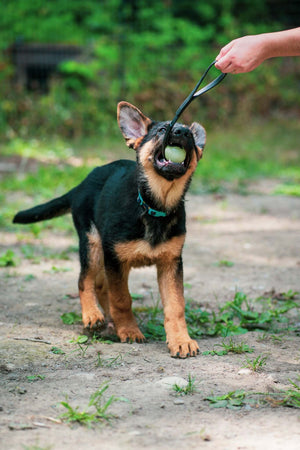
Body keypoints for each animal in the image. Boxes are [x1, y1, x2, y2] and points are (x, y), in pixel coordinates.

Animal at [14, 102, 206, 358]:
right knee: (85, 280)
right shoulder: (115, 259)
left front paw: (181, 340)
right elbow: (122, 299)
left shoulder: (171, 263)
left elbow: (175, 305)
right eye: (162, 130)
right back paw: (93, 315)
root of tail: (81, 184)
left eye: (191, 139)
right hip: (93, 244)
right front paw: (130, 330)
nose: (182, 132)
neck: (153, 206)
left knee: (101, 285)